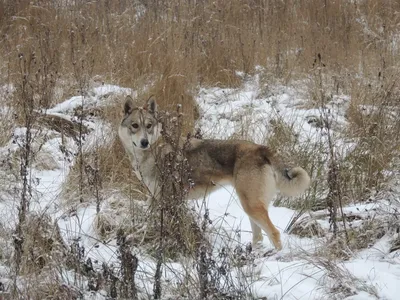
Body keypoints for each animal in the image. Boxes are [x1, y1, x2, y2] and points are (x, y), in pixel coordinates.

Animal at [117, 96, 310, 251]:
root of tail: (261, 149)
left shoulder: (166, 200)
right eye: (135, 126)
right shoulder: (155, 198)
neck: (152, 153)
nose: (144, 142)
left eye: (149, 126)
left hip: (251, 206)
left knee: (274, 234)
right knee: (259, 237)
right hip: (250, 207)